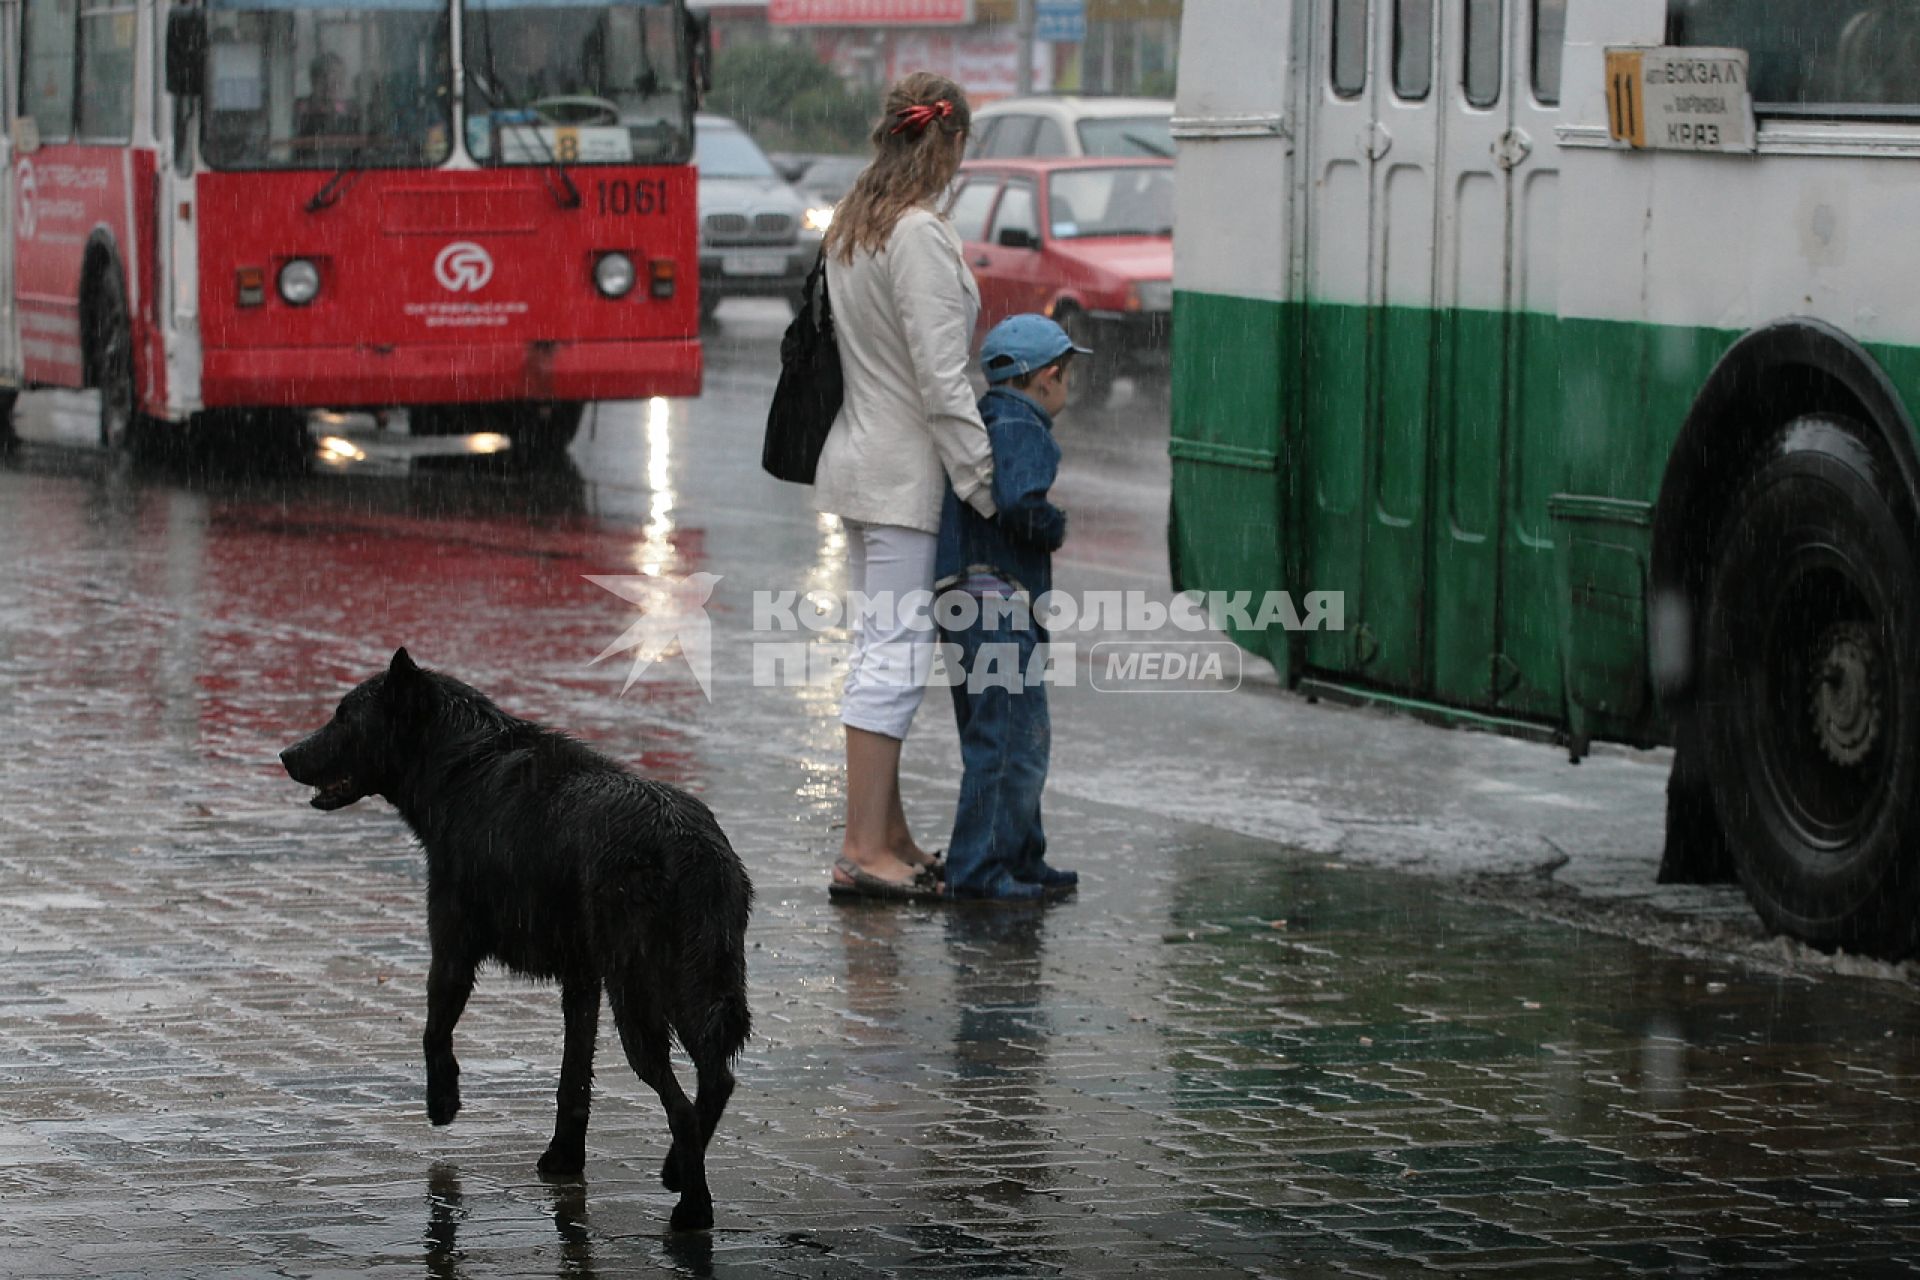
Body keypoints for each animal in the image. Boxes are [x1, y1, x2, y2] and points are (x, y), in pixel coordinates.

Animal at [280, 652, 752, 1228]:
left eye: (344, 717)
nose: (286, 755)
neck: (460, 761)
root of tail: (690, 847)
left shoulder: (452, 946)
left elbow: (434, 1030)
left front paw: (443, 1101)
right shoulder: (581, 978)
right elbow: (573, 1079)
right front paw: (564, 1158)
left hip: (640, 992)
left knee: (681, 1105)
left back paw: (693, 1208)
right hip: (691, 984)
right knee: (717, 1079)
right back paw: (676, 1171)